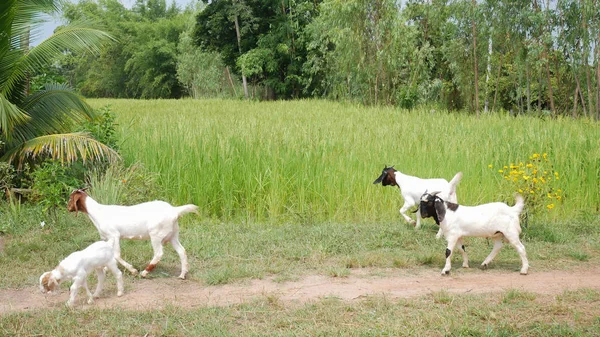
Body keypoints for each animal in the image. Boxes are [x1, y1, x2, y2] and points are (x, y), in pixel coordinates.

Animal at [67, 189, 199, 278]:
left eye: (70, 198)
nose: (67, 208)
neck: (97, 212)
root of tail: (174, 210)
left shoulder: (114, 235)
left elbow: (116, 255)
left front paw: (133, 270)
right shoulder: (108, 238)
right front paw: (105, 269)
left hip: (156, 234)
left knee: (158, 253)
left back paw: (144, 272)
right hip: (173, 235)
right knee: (182, 251)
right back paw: (182, 275)